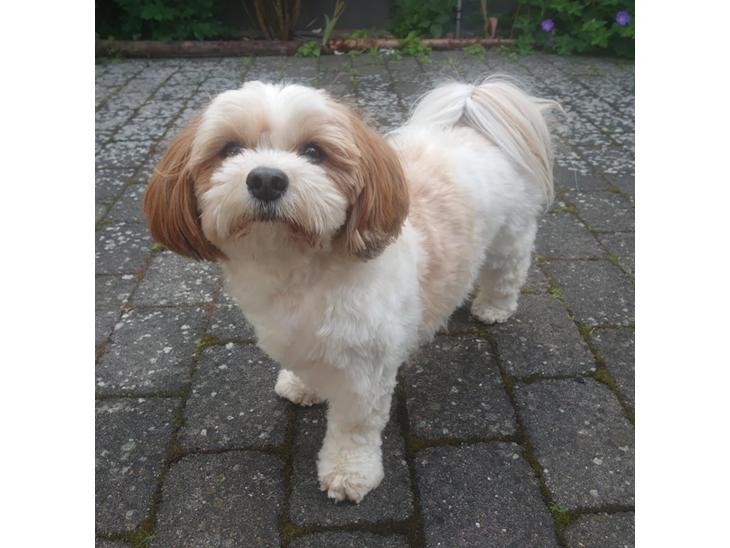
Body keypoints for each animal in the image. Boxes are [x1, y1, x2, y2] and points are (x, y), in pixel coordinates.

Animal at [143, 77, 558, 503]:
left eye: (314, 152)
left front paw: (348, 472)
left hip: (510, 237)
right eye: (229, 149)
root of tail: (478, 124)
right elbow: (305, 365)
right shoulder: (300, 338)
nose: (266, 179)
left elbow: (354, 427)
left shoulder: (365, 370)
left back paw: (494, 307)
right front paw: (302, 385)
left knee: (508, 270)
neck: (295, 268)